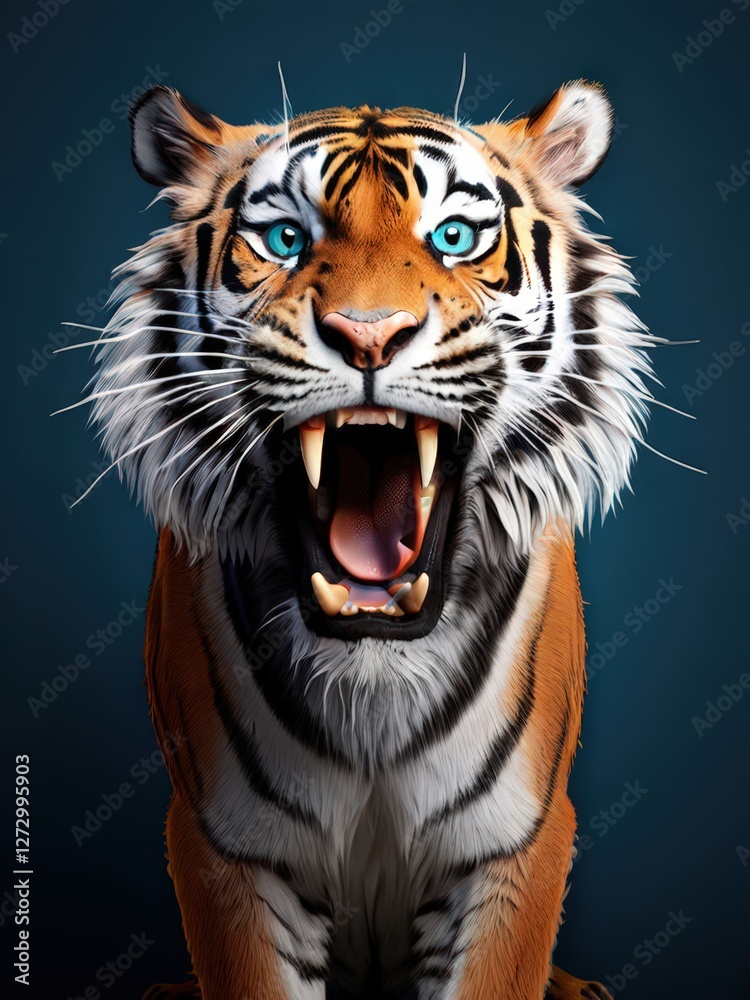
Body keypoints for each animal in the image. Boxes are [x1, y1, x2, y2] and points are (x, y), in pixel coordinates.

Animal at [82, 80, 656, 999]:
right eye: (285, 239)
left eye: (454, 237)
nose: (369, 335)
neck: (374, 674)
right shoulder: (225, 849)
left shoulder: (515, 845)